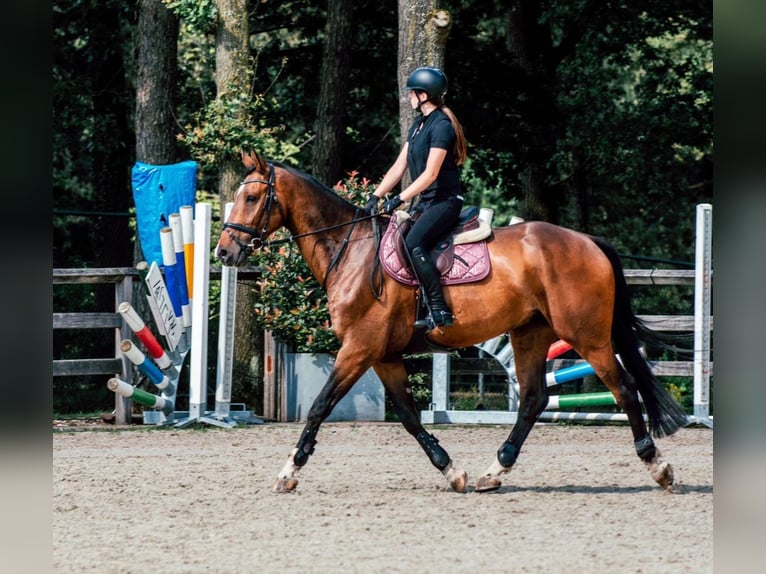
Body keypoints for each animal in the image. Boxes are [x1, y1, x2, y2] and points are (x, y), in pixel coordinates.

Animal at [216, 150, 689, 494]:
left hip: (586, 336)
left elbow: (319, 407)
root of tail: (587, 240)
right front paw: (450, 471)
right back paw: (493, 472)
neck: (350, 251)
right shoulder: (383, 356)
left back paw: (658, 466)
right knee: (534, 400)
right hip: (530, 334)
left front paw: (288, 471)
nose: (224, 252)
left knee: (623, 387)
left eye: (252, 198)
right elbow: (409, 417)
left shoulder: (359, 349)